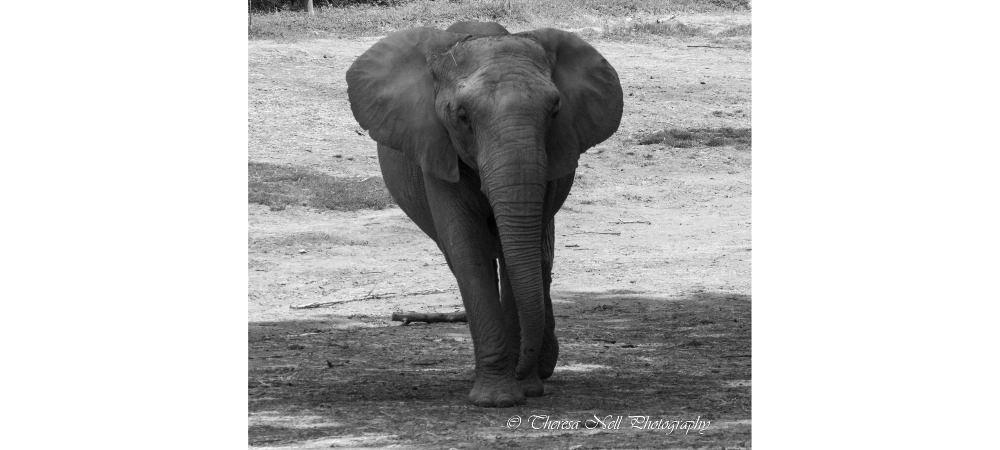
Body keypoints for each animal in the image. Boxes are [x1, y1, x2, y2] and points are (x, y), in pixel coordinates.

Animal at [346, 21, 623, 407]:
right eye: (462, 117)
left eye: (554, 112)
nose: (524, 373)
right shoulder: (437, 152)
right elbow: (469, 250)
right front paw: (496, 399)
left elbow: (518, 253)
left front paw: (523, 389)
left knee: (540, 259)